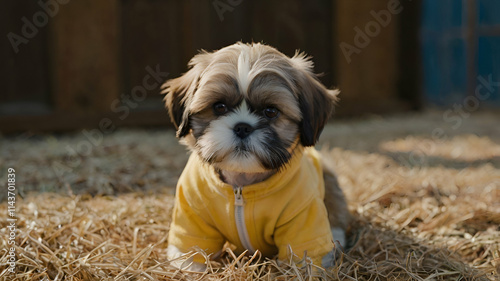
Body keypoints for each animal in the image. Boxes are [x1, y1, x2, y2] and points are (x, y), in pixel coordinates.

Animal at [162, 42, 350, 272]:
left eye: (270, 111)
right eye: (219, 107)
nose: (242, 127)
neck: (242, 184)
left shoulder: (304, 214)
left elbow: (305, 253)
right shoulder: (191, 214)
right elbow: (191, 251)